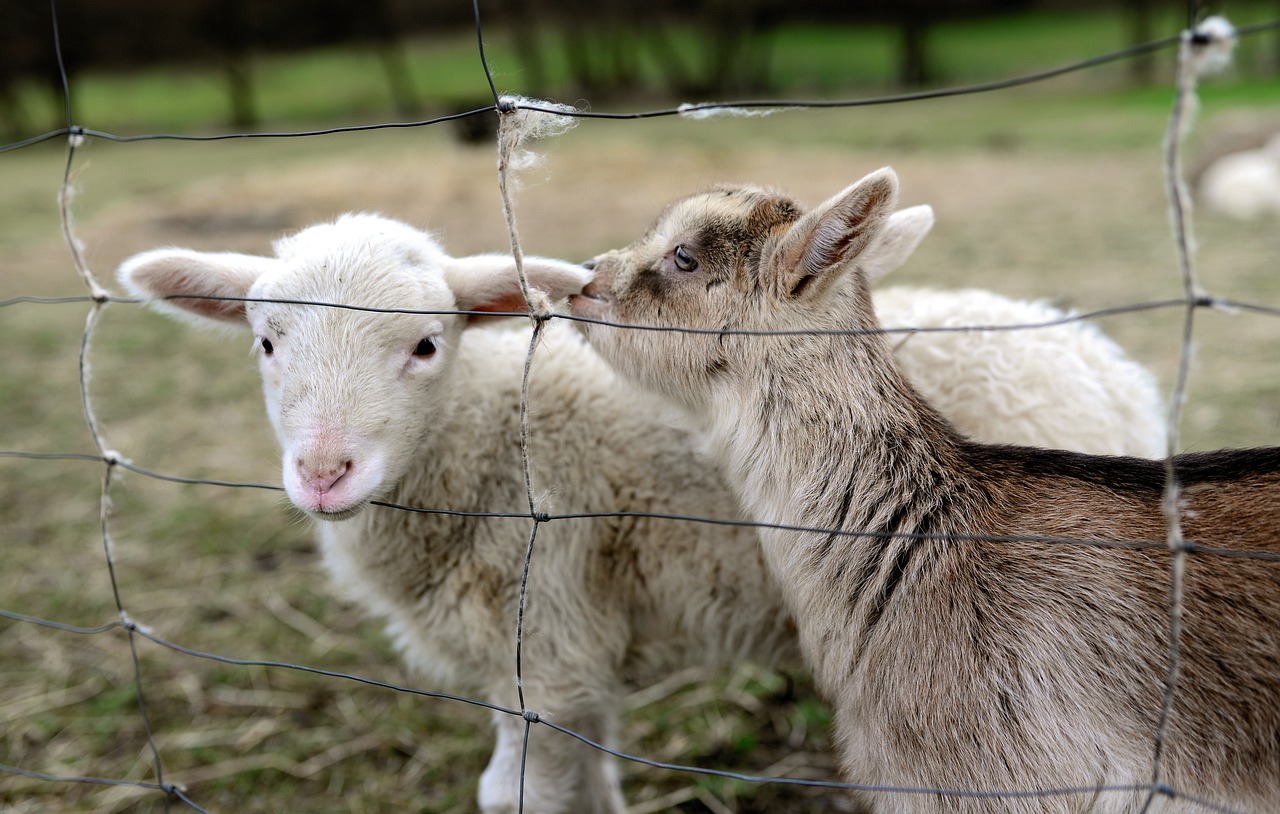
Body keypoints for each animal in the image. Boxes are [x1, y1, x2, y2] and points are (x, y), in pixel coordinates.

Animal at [120, 211, 1172, 814]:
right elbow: (595, 784)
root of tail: (1118, 381)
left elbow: (515, 799)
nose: (324, 473)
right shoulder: (572, 656)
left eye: (425, 345)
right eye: (265, 342)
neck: (485, 436)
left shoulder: (543, 641)